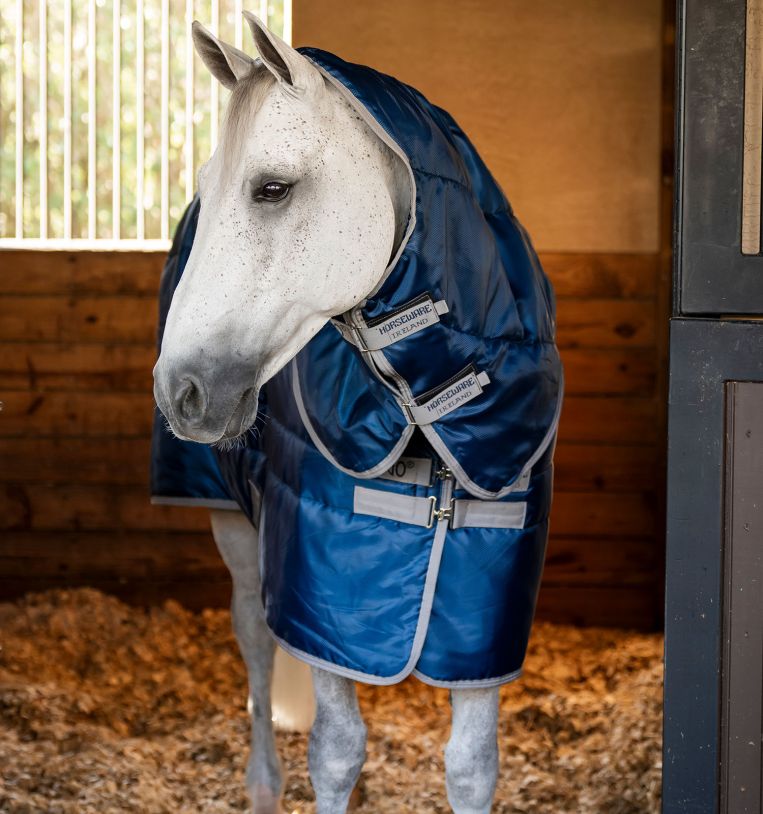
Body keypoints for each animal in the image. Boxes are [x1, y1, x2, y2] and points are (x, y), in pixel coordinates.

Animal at [153, 12, 561, 814]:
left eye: (272, 189)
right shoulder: (323, 593)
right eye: (209, 190)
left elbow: (472, 765)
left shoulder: (483, 618)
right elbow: (337, 750)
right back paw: (262, 785)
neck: (428, 408)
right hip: (233, 522)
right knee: (255, 638)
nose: (179, 389)